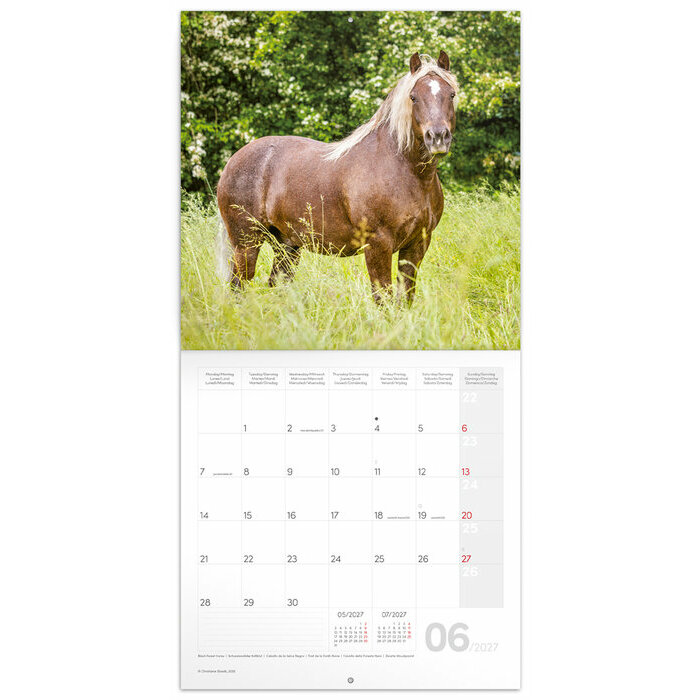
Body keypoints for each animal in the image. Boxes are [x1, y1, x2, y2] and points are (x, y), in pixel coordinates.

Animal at [217, 51, 458, 304]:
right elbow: (383, 298)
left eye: (451, 94)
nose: (438, 137)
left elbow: (405, 297)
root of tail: (233, 161)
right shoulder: (378, 246)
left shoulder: (417, 244)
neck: (407, 173)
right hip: (246, 244)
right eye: (413, 97)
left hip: (287, 246)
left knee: (277, 285)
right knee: (238, 286)